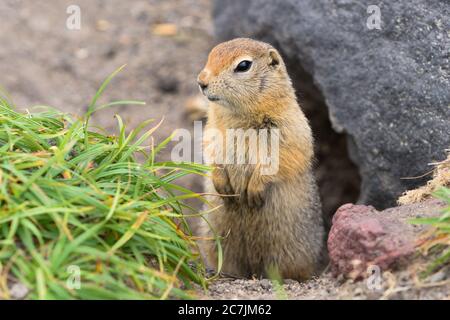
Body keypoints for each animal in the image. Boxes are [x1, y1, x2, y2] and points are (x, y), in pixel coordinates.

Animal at [196, 38, 324, 282]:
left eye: (243, 65)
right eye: (211, 54)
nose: (201, 82)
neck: (238, 115)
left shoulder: (289, 128)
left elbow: (282, 158)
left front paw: (254, 190)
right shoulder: (212, 129)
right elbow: (211, 152)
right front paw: (222, 184)